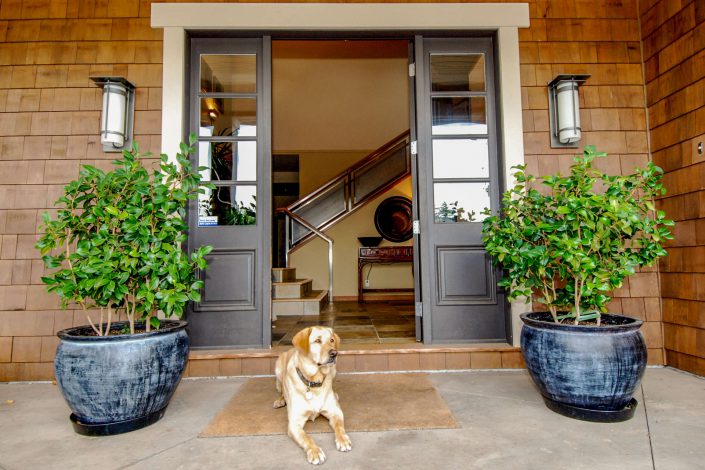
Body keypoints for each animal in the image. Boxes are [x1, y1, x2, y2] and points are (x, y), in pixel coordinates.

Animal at [276, 324, 352, 464]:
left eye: (332, 340)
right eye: (317, 341)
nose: (334, 353)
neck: (313, 382)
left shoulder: (336, 412)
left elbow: (339, 427)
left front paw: (343, 440)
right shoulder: (294, 423)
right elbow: (306, 438)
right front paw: (315, 451)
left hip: (334, 370)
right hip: (278, 366)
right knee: (282, 388)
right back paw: (280, 400)